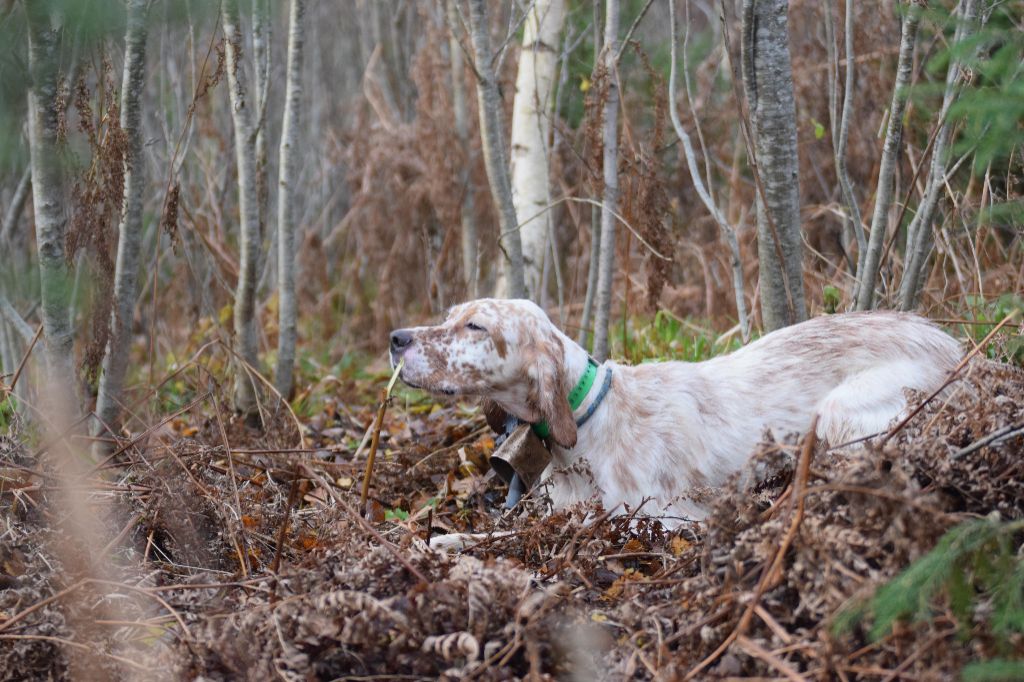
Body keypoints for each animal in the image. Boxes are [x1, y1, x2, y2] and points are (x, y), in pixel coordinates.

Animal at [389, 294, 958, 522]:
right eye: (450, 315)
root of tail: (952, 344)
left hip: (839, 412)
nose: (396, 338)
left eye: (475, 326)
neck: (589, 422)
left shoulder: (668, 518)